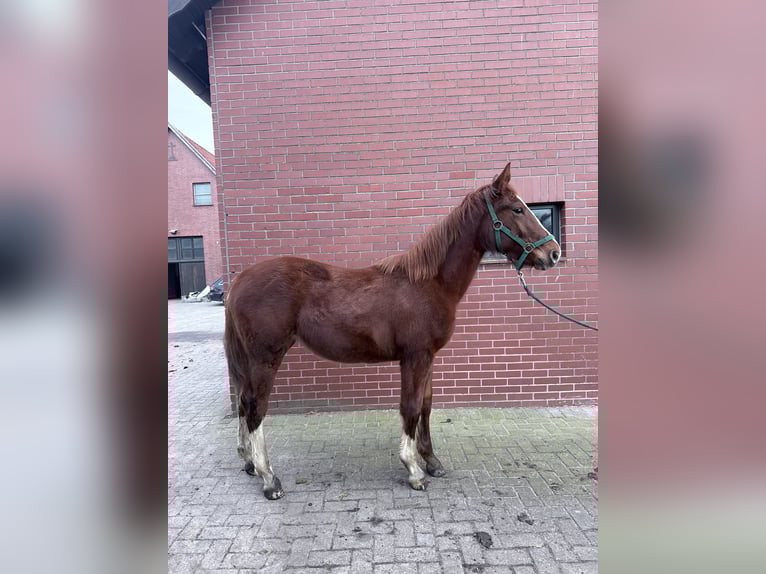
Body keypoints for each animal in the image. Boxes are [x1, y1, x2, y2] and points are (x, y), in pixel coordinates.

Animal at [224, 163, 561, 499]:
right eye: (517, 209)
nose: (554, 253)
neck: (428, 283)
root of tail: (239, 280)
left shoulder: (428, 358)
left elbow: (425, 405)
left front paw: (432, 461)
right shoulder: (414, 357)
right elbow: (409, 407)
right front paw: (413, 469)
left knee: (243, 402)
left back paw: (250, 462)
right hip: (265, 359)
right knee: (255, 408)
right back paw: (269, 478)